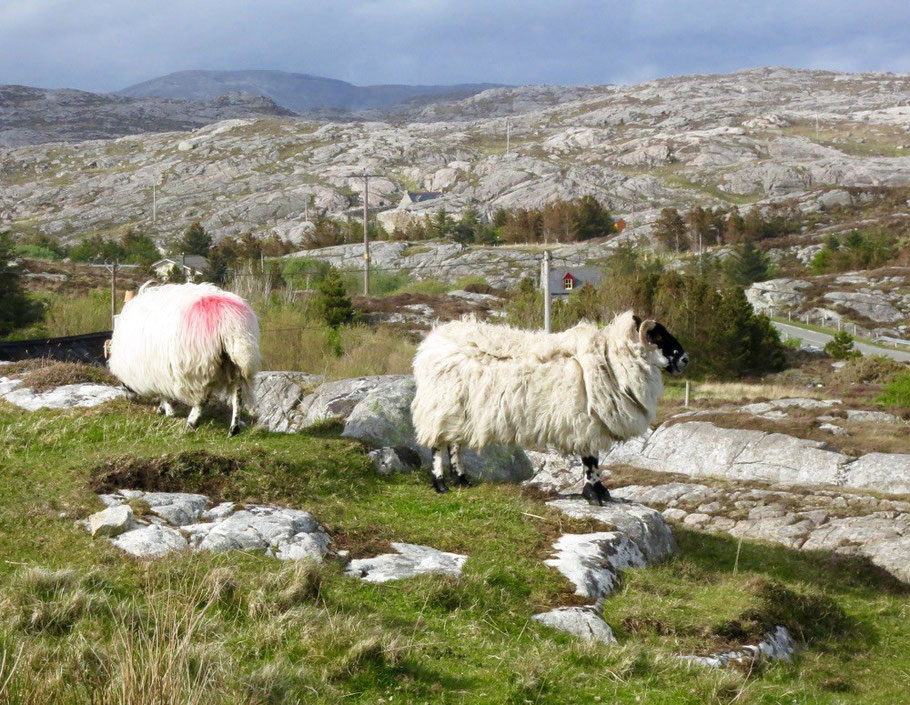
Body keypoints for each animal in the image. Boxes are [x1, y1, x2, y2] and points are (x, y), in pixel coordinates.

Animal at [109, 280, 264, 434]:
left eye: (122, 383)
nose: (129, 399)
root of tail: (231, 321)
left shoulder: (157, 372)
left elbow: (163, 394)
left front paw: (167, 410)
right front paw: (162, 408)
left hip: (200, 365)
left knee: (203, 398)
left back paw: (192, 422)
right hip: (236, 364)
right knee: (238, 395)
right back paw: (234, 428)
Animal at [410, 310, 688, 500]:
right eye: (657, 335)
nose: (685, 359)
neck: (611, 360)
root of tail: (431, 342)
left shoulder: (590, 425)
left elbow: (593, 461)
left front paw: (602, 493)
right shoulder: (586, 424)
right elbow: (591, 461)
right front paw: (594, 494)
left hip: (458, 410)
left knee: (454, 444)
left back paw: (462, 480)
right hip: (440, 405)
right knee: (437, 446)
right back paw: (440, 484)